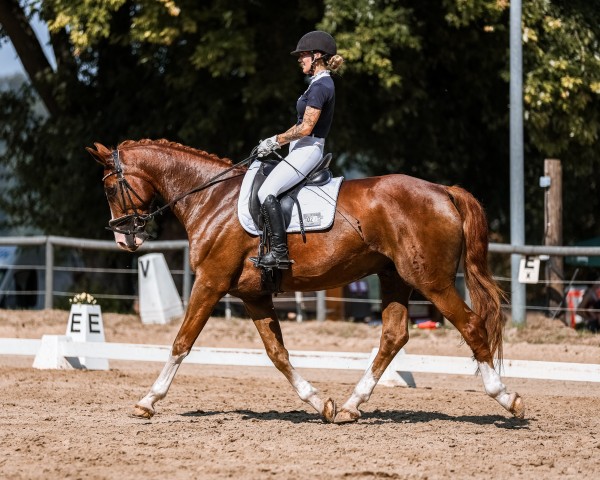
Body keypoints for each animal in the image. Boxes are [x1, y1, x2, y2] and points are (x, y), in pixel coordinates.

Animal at [89, 137, 524, 422]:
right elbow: (277, 354)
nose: (124, 239)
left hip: (431, 281)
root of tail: (443, 190)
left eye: (109, 187)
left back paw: (506, 398)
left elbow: (181, 341)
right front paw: (320, 403)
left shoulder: (210, 283)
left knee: (471, 326)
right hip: (394, 277)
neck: (212, 200)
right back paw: (349, 406)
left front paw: (148, 400)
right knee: (394, 336)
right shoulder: (253, 295)